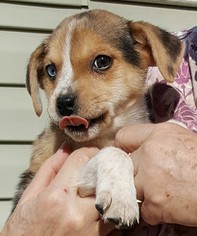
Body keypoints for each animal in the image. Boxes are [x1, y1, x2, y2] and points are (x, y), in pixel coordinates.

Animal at [13, 10, 184, 230]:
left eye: (102, 61)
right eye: (51, 70)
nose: (62, 103)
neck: (107, 135)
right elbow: (114, 154)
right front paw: (121, 198)